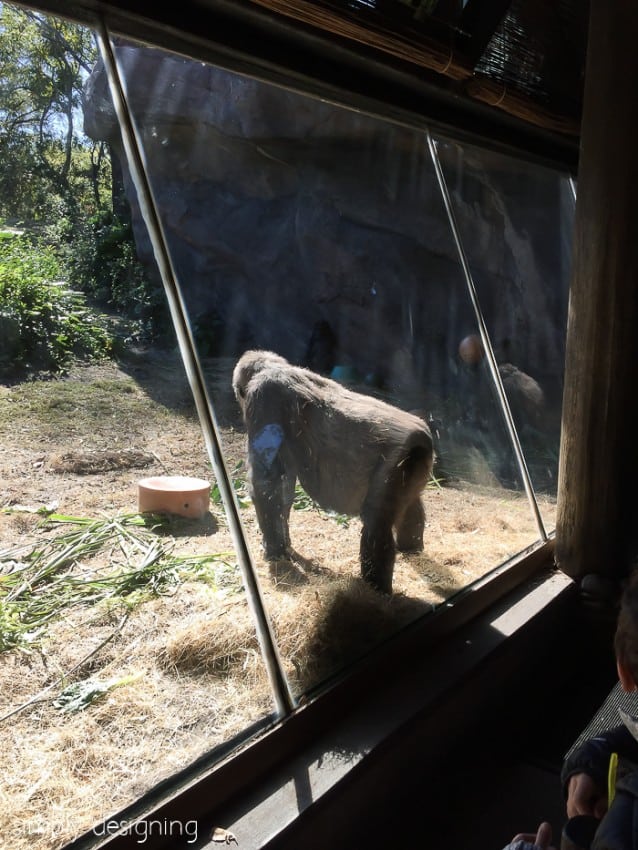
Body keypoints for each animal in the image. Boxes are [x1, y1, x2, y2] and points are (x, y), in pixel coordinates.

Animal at [231, 348, 436, 592]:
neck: (276, 367)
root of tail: (423, 440)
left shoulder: (265, 398)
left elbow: (267, 482)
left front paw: (274, 550)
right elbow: (282, 488)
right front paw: (283, 544)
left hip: (397, 461)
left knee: (376, 523)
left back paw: (376, 587)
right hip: (415, 464)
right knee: (411, 505)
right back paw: (411, 548)